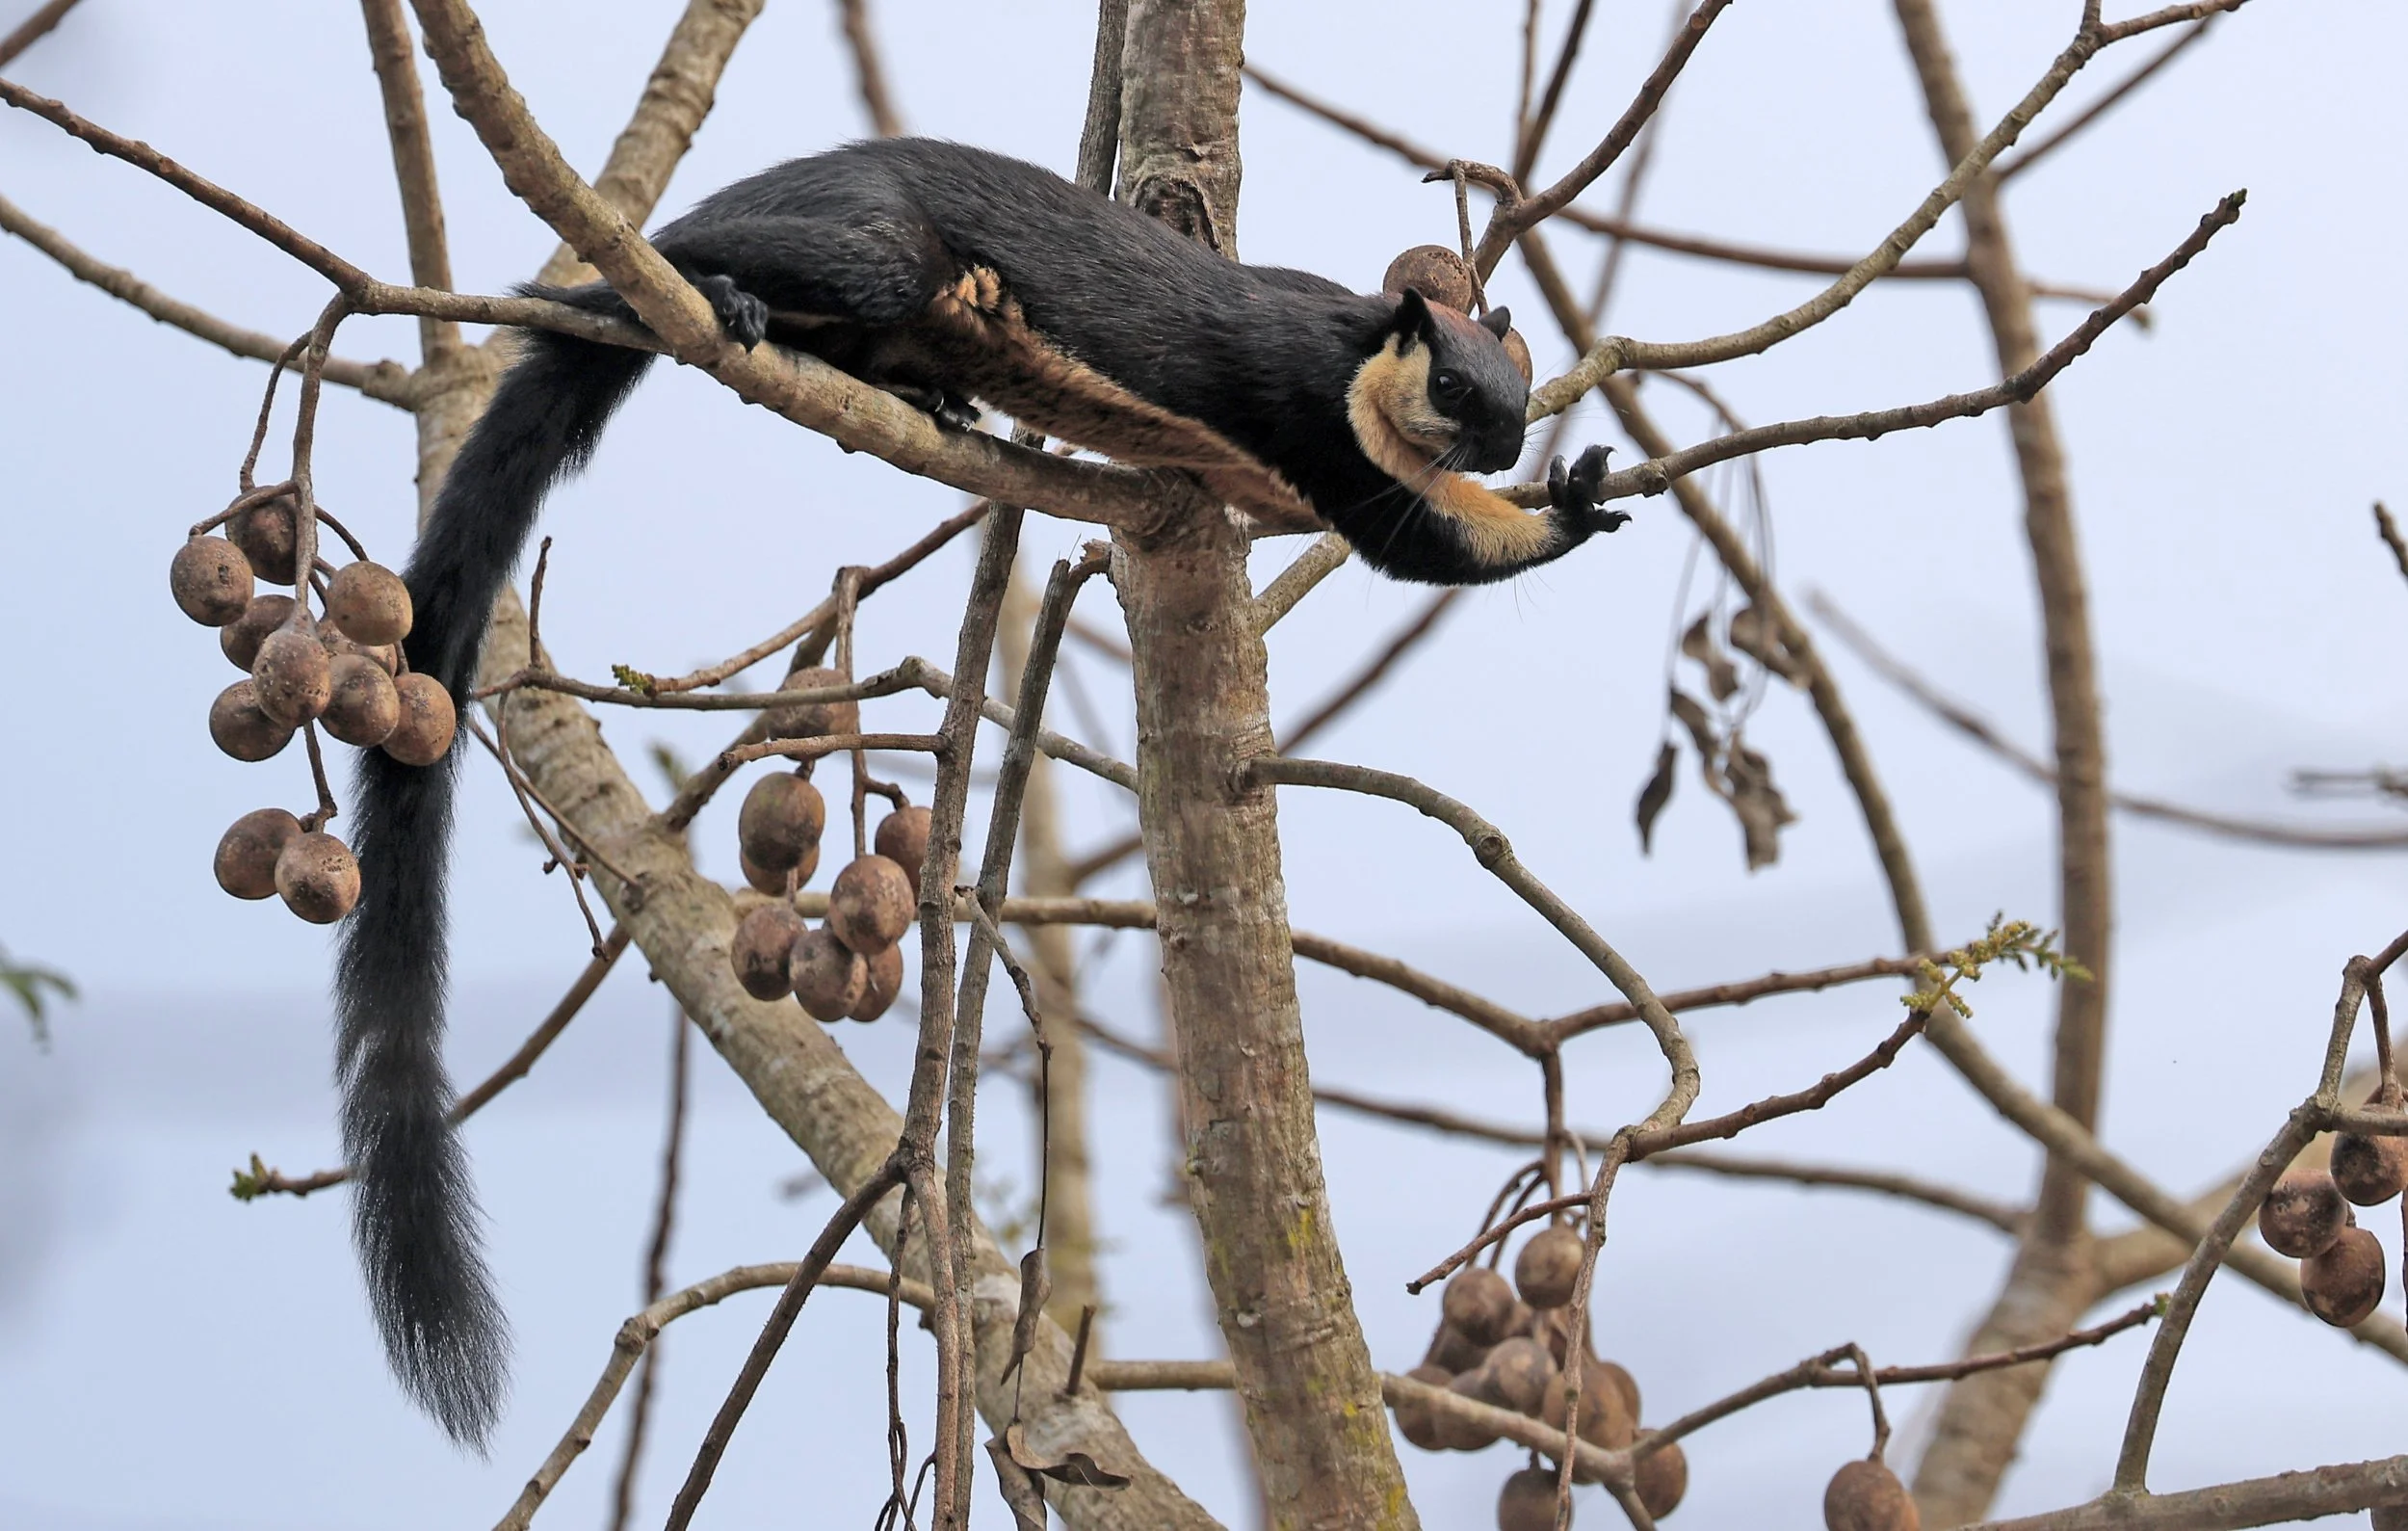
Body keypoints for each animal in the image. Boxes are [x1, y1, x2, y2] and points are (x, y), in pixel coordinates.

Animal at [337, 136, 1629, 1444]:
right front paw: (1572, 504)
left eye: (1515, 378)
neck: (1357, 347)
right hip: (871, 251)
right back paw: (681, 292)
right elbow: (1416, 542)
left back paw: (921, 392)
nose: (1509, 446)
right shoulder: (1316, 422)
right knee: (696, 257)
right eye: (1455, 389)